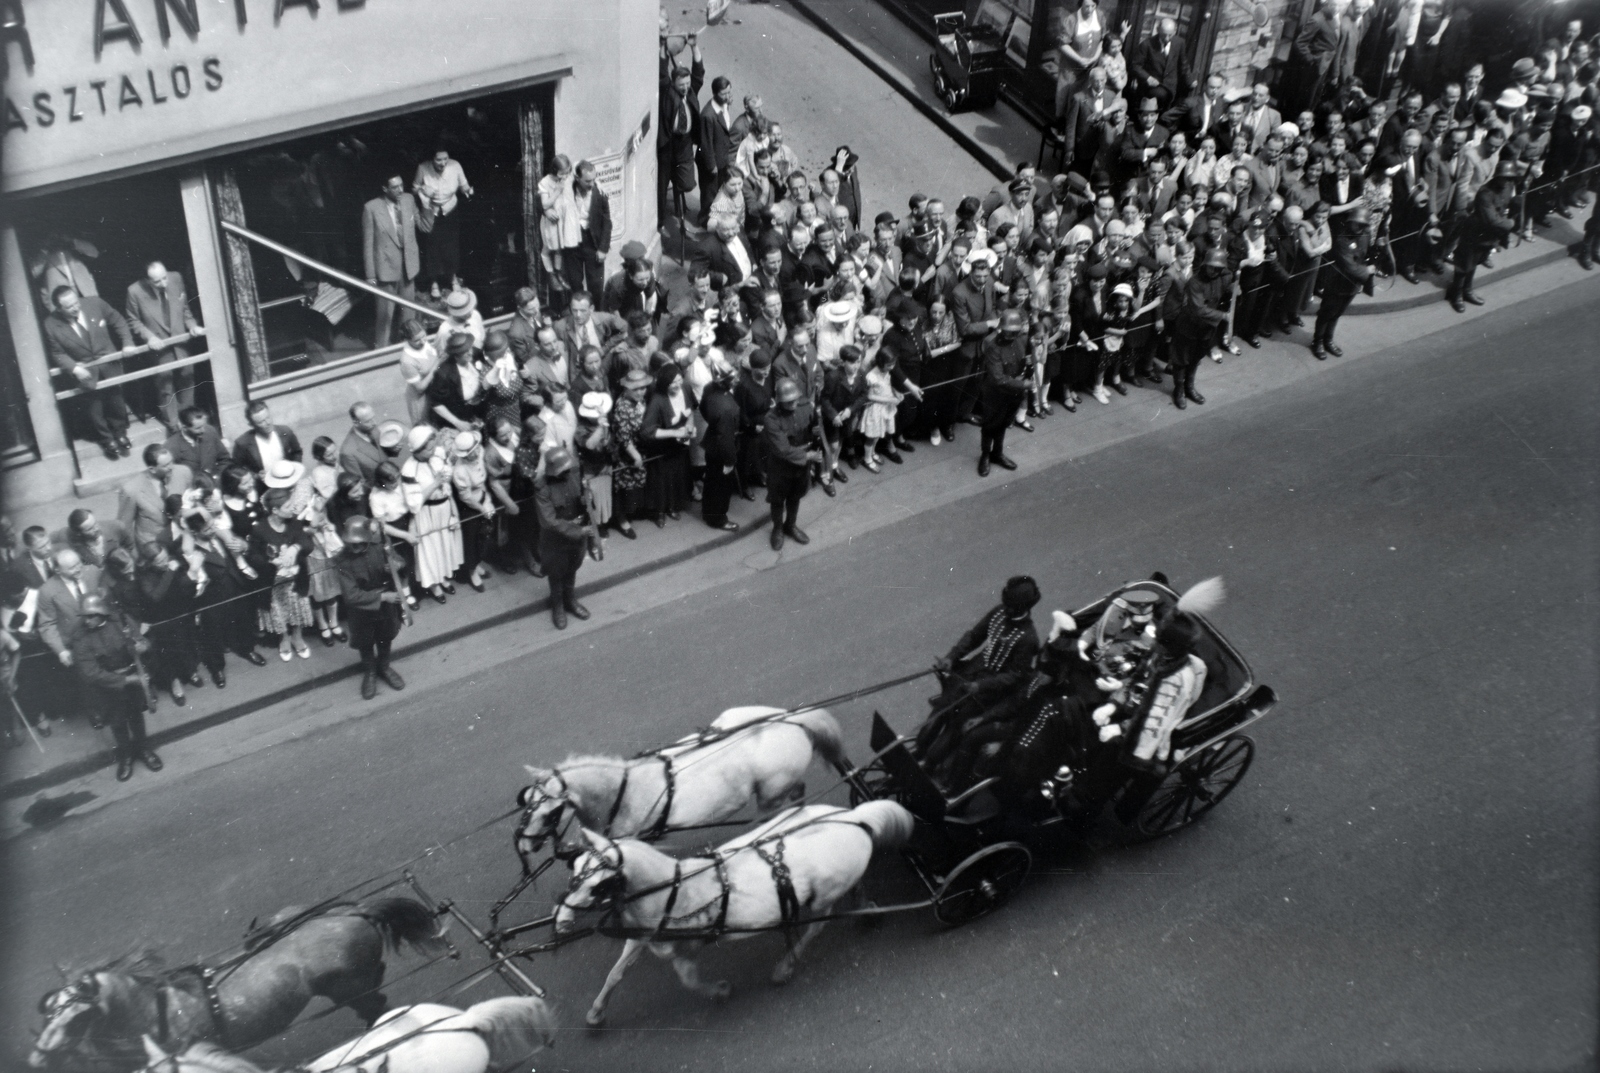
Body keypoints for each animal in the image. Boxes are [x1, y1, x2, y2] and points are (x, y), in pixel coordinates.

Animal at [26, 895, 451, 1073]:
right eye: (48, 1011)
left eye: (77, 1018)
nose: (38, 1059)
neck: (156, 1010)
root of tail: (357, 910)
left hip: (348, 987)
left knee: (377, 1004)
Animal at [515, 710, 844, 863]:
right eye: (525, 801)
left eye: (549, 813)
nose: (523, 846)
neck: (623, 792)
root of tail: (793, 719)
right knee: (797, 794)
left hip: (771, 794)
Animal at [553, 802, 915, 1029]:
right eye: (575, 869)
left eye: (600, 885)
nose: (561, 920)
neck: (675, 891)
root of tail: (854, 816)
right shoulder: (642, 939)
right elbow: (615, 974)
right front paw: (597, 1013)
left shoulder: (687, 949)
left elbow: (689, 979)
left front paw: (720, 991)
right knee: (854, 888)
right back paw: (867, 908)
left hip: (822, 897)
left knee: (816, 926)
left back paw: (786, 965)